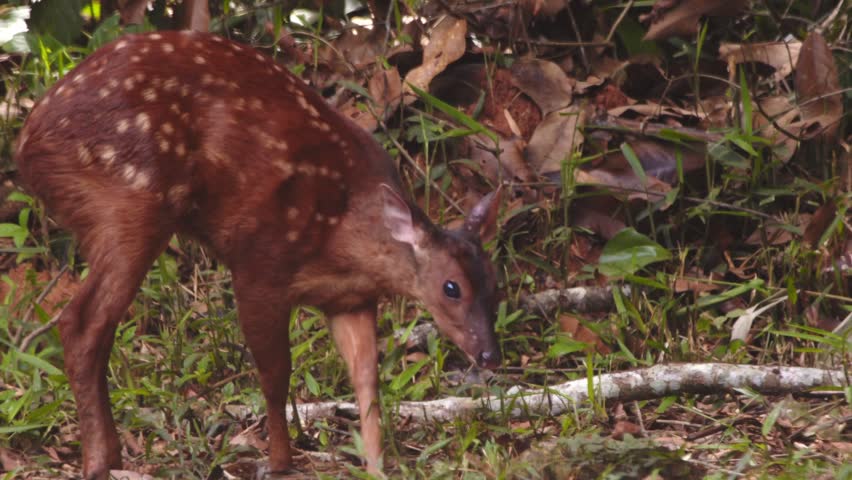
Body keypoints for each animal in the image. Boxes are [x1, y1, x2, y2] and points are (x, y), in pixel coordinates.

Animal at [14, 30, 501, 479]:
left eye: (494, 287)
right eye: (451, 287)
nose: (490, 355)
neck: (344, 232)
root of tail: (26, 143)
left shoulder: (350, 300)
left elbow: (367, 378)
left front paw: (377, 464)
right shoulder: (259, 267)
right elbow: (274, 373)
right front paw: (280, 463)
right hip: (129, 203)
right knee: (82, 323)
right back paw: (100, 461)